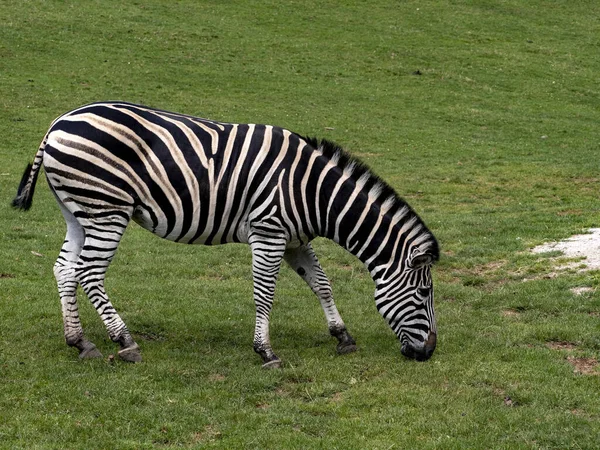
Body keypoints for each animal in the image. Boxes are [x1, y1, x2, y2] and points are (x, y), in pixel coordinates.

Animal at [11, 103, 438, 370]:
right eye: (424, 293)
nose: (429, 352)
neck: (314, 192)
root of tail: (57, 125)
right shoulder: (269, 232)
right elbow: (265, 293)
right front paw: (266, 352)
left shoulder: (295, 240)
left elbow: (322, 283)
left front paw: (342, 336)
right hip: (107, 210)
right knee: (89, 273)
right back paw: (125, 341)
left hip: (78, 212)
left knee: (64, 269)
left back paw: (80, 342)